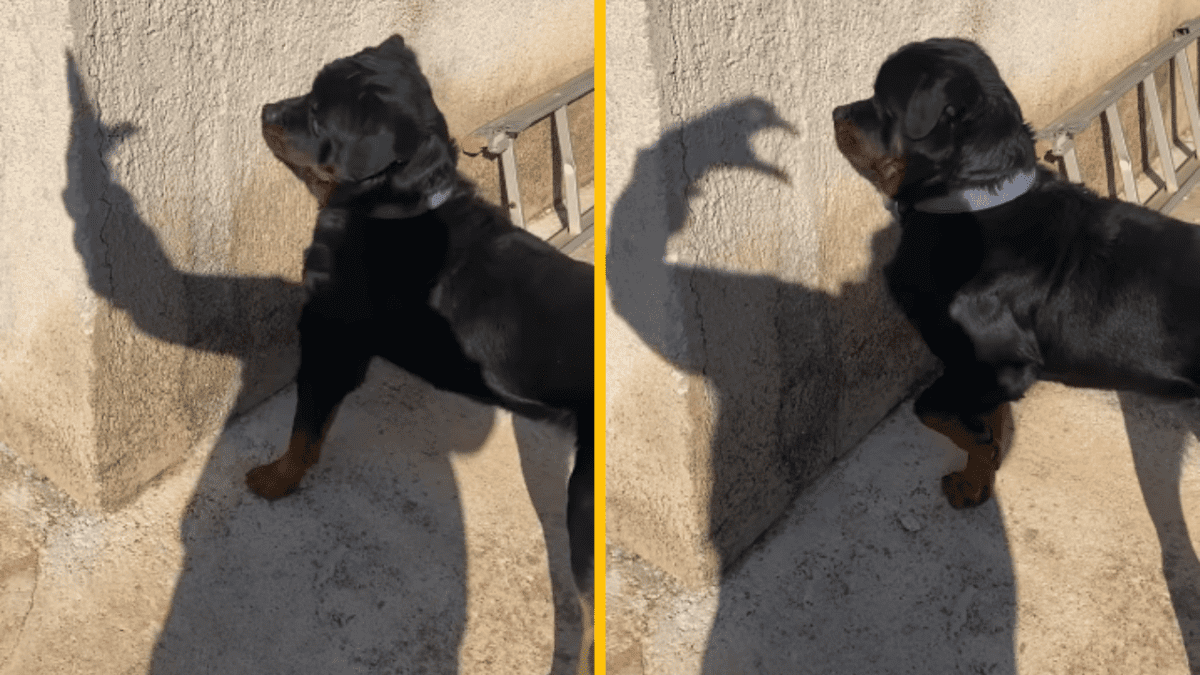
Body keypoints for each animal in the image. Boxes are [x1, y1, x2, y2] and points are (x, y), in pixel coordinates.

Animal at [247, 34, 594, 638]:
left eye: (316, 111)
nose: (266, 111)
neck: (394, 203)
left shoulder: (327, 337)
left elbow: (304, 428)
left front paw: (277, 479)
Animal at [834, 38, 1200, 508]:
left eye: (882, 101)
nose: (836, 112)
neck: (970, 200)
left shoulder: (1000, 363)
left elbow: (933, 410)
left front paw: (980, 449)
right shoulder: (979, 369)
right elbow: (990, 420)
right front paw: (977, 479)